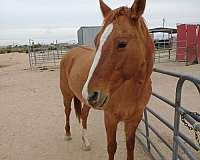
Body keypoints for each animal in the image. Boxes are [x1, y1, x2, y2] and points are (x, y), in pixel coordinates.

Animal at [59, 0, 155, 159]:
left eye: (122, 43)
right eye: (96, 41)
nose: (89, 93)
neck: (130, 90)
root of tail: (71, 53)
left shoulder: (134, 119)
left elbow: (130, 146)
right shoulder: (110, 118)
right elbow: (111, 147)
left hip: (87, 101)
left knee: (84, 115)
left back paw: (85, 142)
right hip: (67, 94)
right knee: (67, 110)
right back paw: (67, 134)